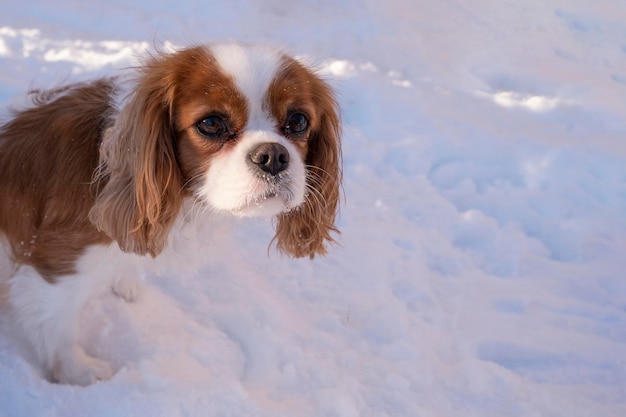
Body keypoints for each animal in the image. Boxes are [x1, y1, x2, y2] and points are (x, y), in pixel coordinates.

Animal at [0, 42, 342, 384]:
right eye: (211, 124)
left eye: (298, 121)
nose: (273, 155)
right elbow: (58, 323)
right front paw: (77, 372)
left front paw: (124, 280)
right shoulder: (57, 259)